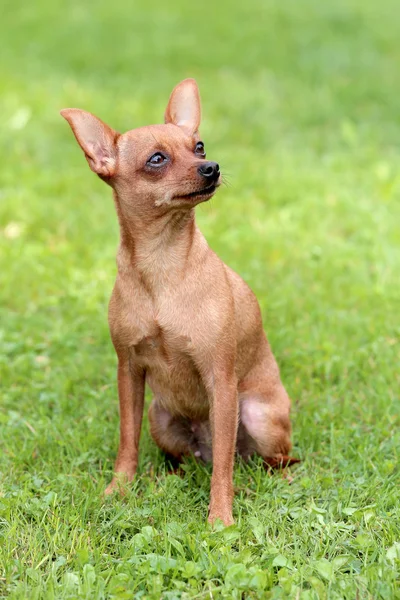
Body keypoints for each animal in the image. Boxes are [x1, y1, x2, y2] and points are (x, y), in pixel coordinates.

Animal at [61, 79, 296, 524]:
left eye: (199, 146)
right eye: (157, 159)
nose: (212, 166)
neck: (162, 264)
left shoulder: (221, 381)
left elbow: (222, 470)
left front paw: (220, 518)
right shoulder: (129, 370)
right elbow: (127, 440)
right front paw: (119, 490)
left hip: (257, 416)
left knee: (262, 459)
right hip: (161, 417)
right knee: (193, 458)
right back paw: (171, 474)